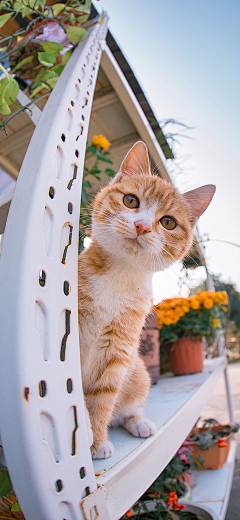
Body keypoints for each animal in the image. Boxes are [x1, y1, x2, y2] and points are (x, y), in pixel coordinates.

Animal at [79, 139, 216, 460]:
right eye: (131, 201)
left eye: (168, 222)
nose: (142, 226)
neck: (118, 276)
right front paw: (83, 436)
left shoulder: (119, 349)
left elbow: (103, 398)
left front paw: (96, 440)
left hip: (138, 372)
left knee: (126, 410)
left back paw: (139, 422)